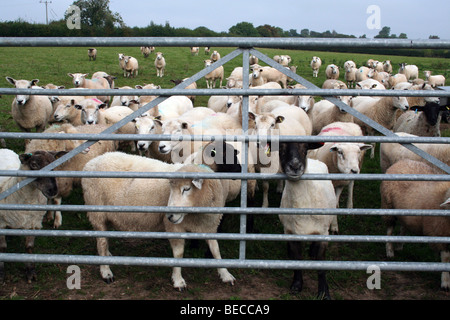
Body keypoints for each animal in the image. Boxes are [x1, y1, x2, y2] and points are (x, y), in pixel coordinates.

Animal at [0, 148, 65, 282]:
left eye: (54, 163)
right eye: (34, 165)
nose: (53, 190)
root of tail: (3, 149)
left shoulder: (33, 223)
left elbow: (29, 247)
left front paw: (30, 271)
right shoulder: (1, 224)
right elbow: (2, 248)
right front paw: (1, 273)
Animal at [380, 159, 450, 292]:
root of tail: (403, 161)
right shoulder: (439, 233)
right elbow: (446, 259)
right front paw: (445, 282)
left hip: (405, 212)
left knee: (404, 226)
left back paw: (399, 245)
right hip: (388, 205)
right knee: (389, 230)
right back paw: (390, 250)